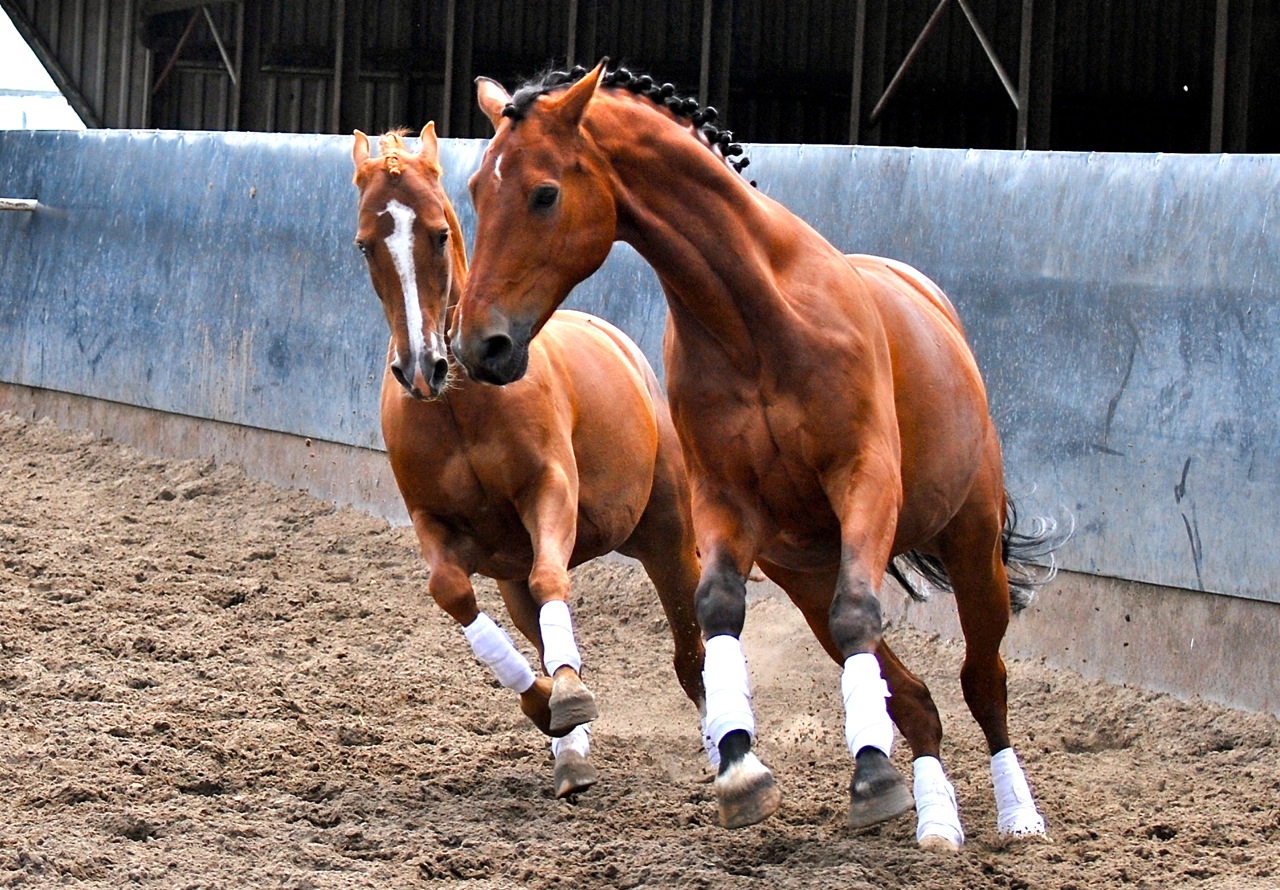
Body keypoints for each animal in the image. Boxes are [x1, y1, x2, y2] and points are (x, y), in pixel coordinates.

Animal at [350, 125, 711, 799]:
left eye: (439, 233)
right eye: (365, 245)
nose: (422, 368)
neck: (458, 404)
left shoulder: (549, 491)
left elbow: (553, 579)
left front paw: (566, 697)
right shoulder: (433, 522)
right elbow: (452, 591)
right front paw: (546, 708)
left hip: (666, 533)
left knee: (690, 648)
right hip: (514, 577)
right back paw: (572, 756)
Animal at [453, 64, 1070, 850]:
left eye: (543, 193)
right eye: (477, 190)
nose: (480, 346)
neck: (756, 317)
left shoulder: (865, 483)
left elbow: (861, 614)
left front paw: (870, 776)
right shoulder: (727, 502)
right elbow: (719, 610)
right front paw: (742, 768)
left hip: (972, 544)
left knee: (980, 681)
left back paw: (1017, 814)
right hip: (805, 572)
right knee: (914, 697)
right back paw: (936, 815)